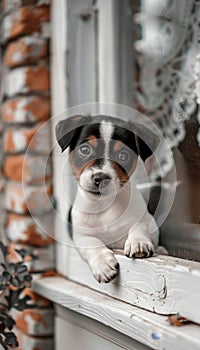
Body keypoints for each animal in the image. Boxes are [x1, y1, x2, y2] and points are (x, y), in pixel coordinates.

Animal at [55, 113, 159, 284]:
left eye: (123, 155)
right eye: (85, 150)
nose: (100, 178)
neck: (104, 204)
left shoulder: (149, 223)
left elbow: (140, 226)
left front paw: (138, 242)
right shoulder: (80, 235)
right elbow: (92, 243)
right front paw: (103, 264)